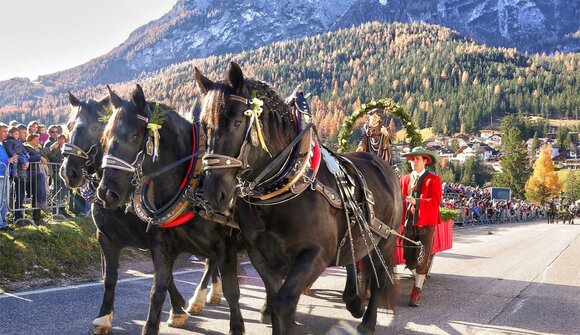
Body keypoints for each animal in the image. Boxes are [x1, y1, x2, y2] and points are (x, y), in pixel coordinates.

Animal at [60, 92, 231, 335]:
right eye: (68, 125)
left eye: (94, 128)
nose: (69, 172)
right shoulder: (107, 238)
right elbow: (109, 278)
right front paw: (103, 318)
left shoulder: (159, 240)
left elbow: (164, 279)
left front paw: (177, 310)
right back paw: (214, 292)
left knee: (210, 262)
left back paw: (199, 298)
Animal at [194, 62, 398, 334]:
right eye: (204, 125)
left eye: (237, 122)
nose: (214, 192)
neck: (283, 187)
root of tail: (382, 164)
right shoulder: (262, 256)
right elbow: (274, 301)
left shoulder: (316, 254)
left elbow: (283, 302)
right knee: (353, 259)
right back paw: (353, 301)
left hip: (384, 242)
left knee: (378, 279)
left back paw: (367, 321)